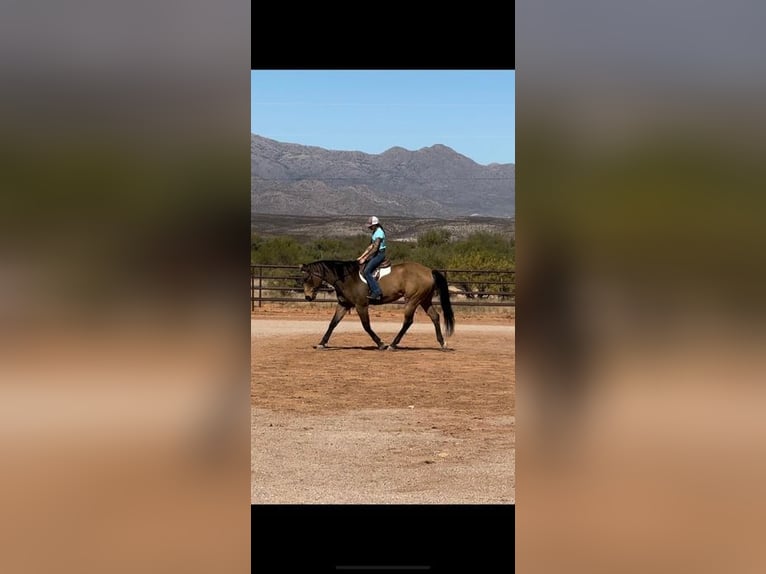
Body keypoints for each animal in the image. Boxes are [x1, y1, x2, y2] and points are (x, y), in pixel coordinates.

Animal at [300, 260, 456, 352]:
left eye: (307, 278)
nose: (308, 297)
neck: (346, 278)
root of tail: (429, 271)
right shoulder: (344, 305)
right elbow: (333, 323)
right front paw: (321, 343)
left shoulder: (361, 305)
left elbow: (366, 326)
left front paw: (381, 344)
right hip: (424, 300)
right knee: (435, 316)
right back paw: (443, 343)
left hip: (412, 300)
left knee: (408, 321)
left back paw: (392, 345)